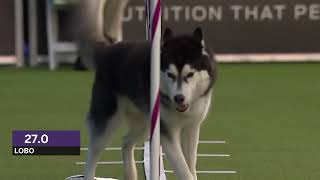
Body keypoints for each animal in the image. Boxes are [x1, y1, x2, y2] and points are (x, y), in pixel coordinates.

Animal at [84, 27, 216, 180]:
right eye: (170, 74)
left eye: (190, 74)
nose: (179, 98)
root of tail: (107, 50)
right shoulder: (166, 132)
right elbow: (183, 169)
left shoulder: (191, 128)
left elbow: (191, 166)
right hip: (109, 120)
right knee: (93, 151)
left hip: (145, 126)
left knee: (126, 141)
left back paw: (130, 173)